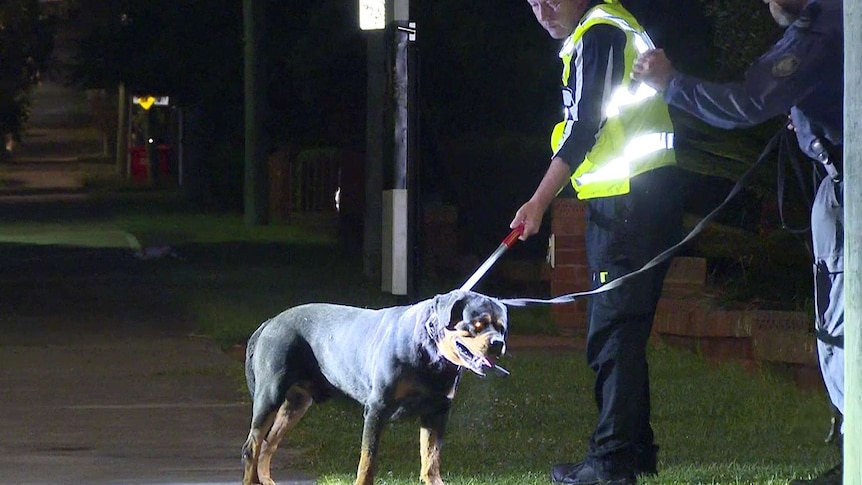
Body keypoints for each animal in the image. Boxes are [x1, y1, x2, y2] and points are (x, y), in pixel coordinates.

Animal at [240, 290, 510, 484]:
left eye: (502, 327)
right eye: (477, 324)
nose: (498, 344)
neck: (430, 354)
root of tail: (270, 322)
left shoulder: (438, 411)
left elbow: (431, 459)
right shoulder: (377, 408)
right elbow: (367, 460)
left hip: (296, 403)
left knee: (268, 444)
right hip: (270, 395)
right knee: (253, 446)